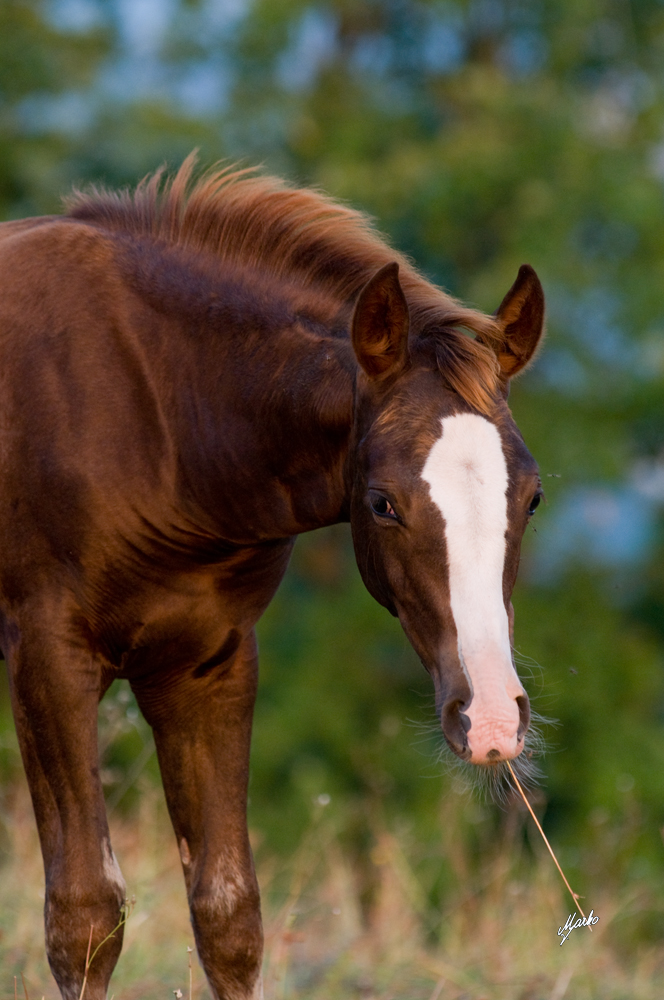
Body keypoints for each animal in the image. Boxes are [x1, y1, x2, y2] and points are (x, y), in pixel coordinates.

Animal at [0, 152, 540, 996]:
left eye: (534, 496)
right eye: (382, 503)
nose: (489, 722)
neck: (161, 413)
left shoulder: (210, 665)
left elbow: (228, 913)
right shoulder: (48, 657)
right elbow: (83, 914)